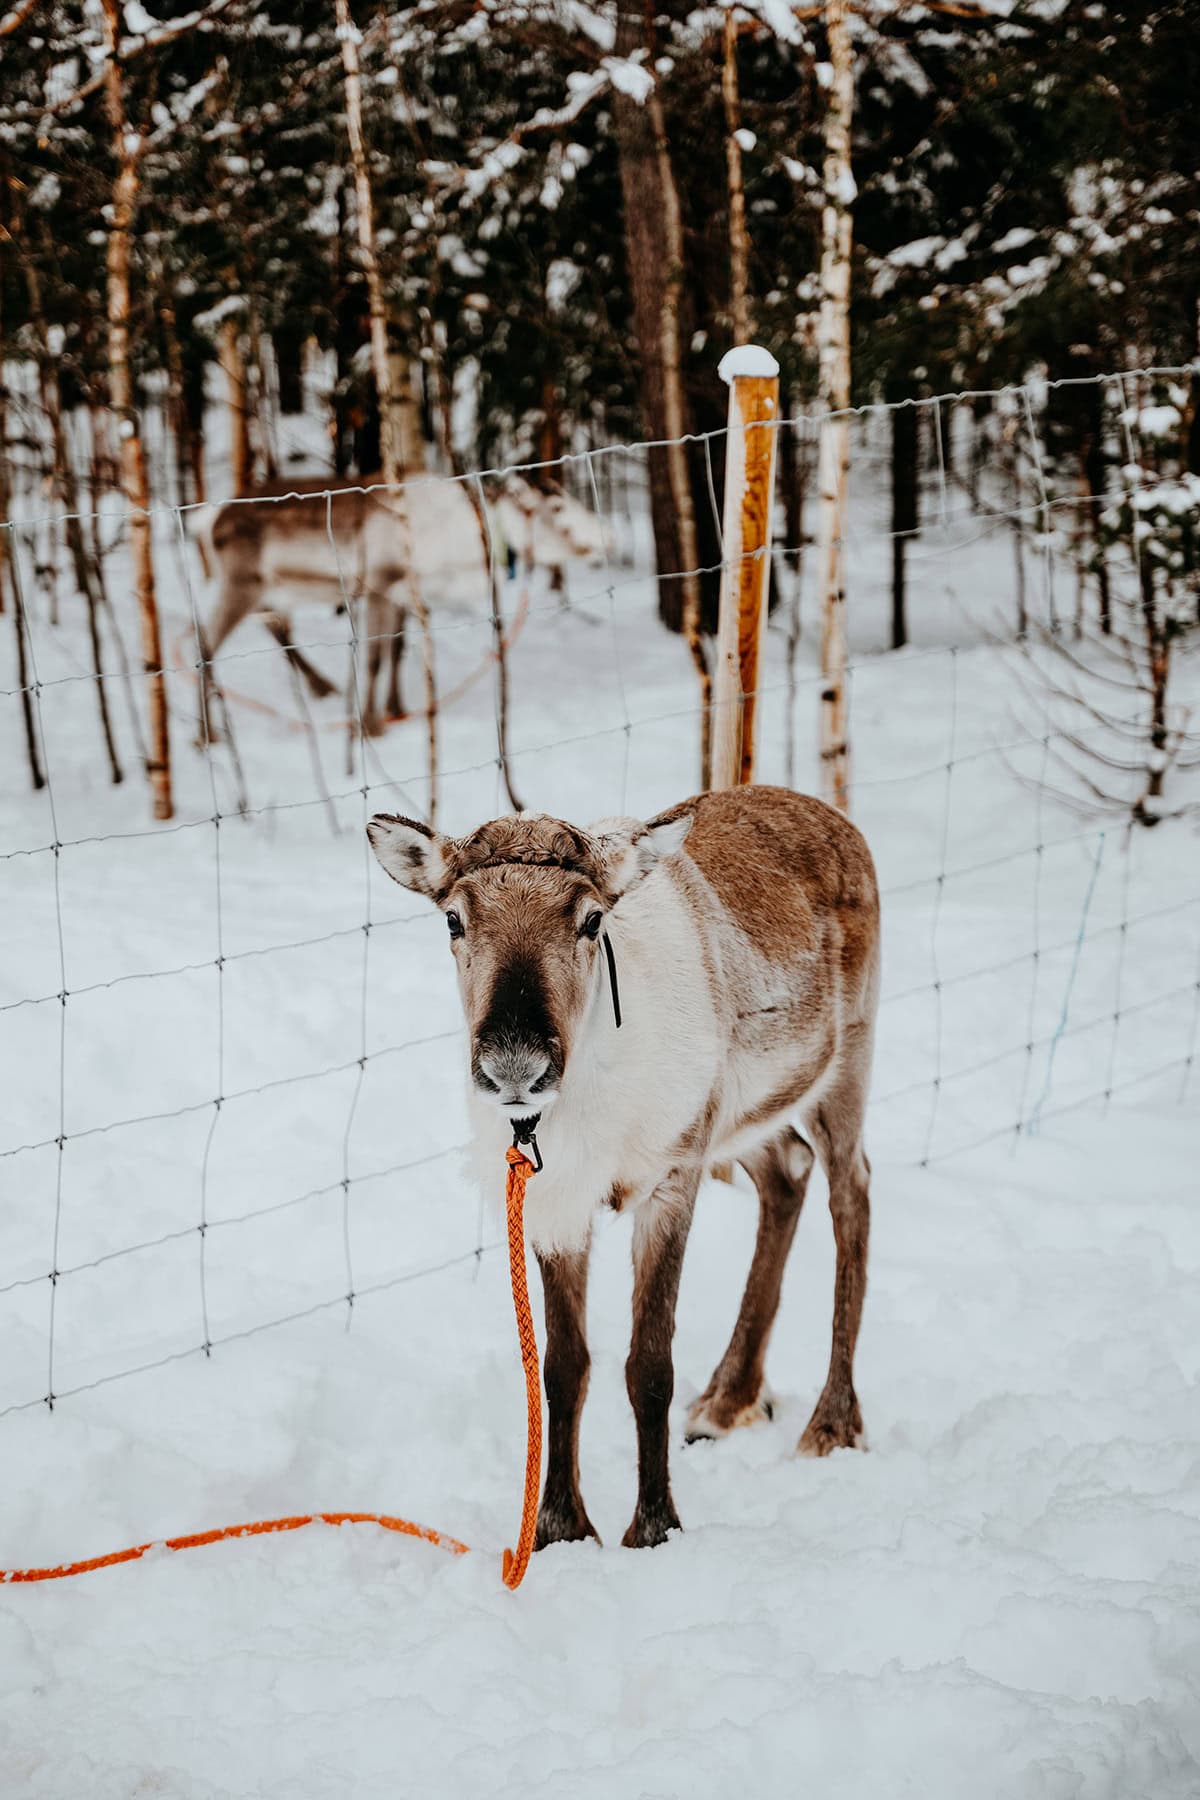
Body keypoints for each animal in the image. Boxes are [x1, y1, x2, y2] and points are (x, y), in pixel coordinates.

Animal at [193, 473, 606, 737]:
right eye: (557, 505)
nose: (609, 537)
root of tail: (210, 521)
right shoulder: (379, 584)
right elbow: (374, 657)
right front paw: (373, 724)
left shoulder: (401, 593)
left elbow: (395, 648)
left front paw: (397, 709)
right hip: (242, 584)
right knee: (205, 647)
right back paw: (208, 735)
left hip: (273, 591)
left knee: (274, 629)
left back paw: (322, 687)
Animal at [366, 784, 880, 1552]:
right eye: (454, 918)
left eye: (590, 918)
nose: (515, 1065)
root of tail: (831, 816)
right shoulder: (556, 1202)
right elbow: (562, 1365)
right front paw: (559, 1527)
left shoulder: (671, 1178)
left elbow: (650, 1365)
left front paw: (655, 1526)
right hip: (739, 1113)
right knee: (788, 1171)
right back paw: (727, 1400)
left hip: (843, 1069)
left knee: (852, 1196)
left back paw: (833, 1422)